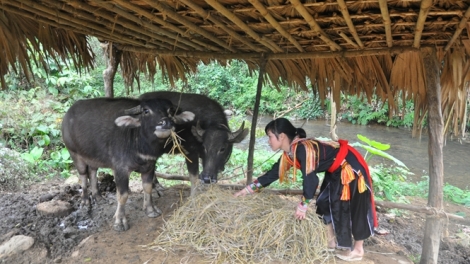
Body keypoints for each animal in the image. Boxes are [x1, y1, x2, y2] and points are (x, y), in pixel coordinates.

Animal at [61, 97, 195, 231]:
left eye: (170, 111)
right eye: (146, 111)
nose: (166, 122)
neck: (138, 144)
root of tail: (67, 116)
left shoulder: (149, 166)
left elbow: (148, 188)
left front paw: (150, 210)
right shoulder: (121, 170)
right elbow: (122, 195)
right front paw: (120, 221)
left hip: (93, 157)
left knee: (93, 172)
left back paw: (98, 197)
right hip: (74, 153)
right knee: (83, 175)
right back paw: (85, 201)